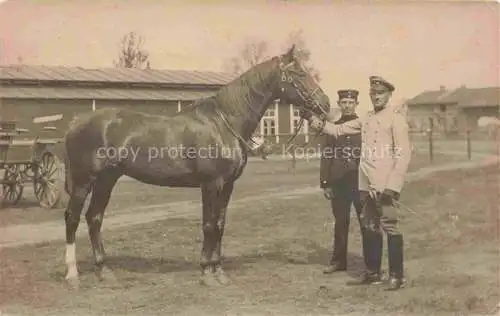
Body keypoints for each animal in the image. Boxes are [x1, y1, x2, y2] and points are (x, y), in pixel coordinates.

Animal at [63, 44, 332, 288]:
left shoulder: (227, 185)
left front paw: (219, 271)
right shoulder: (211, 184)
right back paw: (72, 274)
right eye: (299, 73)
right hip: (84, 181)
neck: (223, 123)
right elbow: (209, 225)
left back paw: (104, 270)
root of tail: (77, 122)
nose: (326, 103)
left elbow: (220, 224)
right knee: (72, 217)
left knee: (94, 218)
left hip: (107, 180)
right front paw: (206, 272)